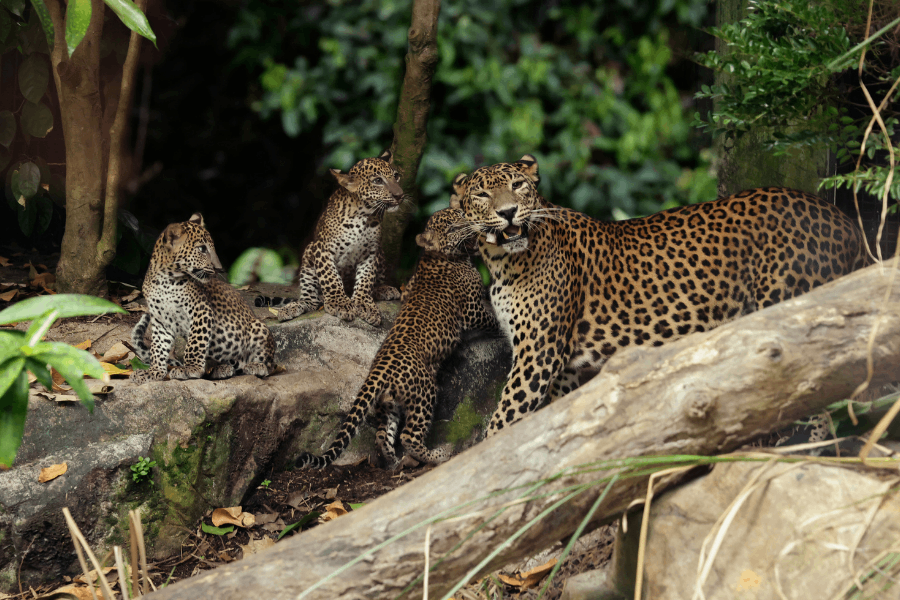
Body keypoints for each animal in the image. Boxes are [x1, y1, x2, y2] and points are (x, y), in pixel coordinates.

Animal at [131, 213, 275, 384]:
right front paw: (154, 372)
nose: (219, 268)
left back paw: (256, 366)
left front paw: (190, 368)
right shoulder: (161, 320)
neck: (166, 280)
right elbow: (157, 348)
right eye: (202, 249)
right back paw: (222, 369)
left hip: (258, 328)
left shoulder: (201, 310)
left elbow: (195, 343)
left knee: (270, 364)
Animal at [261, 150, 405, 327]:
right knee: (311, 301)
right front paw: (339, 303)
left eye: (396, 176)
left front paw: (364, 304)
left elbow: (366, 279)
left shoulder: (371, 252)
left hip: (381, 253)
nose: (399, 195)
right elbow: (330, 277)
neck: (364, 216)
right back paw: (291, 308)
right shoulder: (322, 249)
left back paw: (383, 289)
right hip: (308, 255)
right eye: (378, 181)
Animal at [296, 206, 499, 469]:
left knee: (383, 435)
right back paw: (436, 456)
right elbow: (490, 319)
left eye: (462, 215)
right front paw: (502, 328)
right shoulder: (472, 310)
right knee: (409, 435)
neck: (438, 257)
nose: (472, 223)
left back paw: (392, 461)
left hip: (387, 404)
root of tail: (379, 369)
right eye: (454, 227)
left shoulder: (407, 289)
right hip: (425, 392)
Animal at [453, 154, 867, 436]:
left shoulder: (538, 356)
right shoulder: (561, 369)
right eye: (482, 193)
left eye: (518, 186)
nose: (509, 212)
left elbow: (502, 424)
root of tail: (843, 220)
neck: (503, 262)